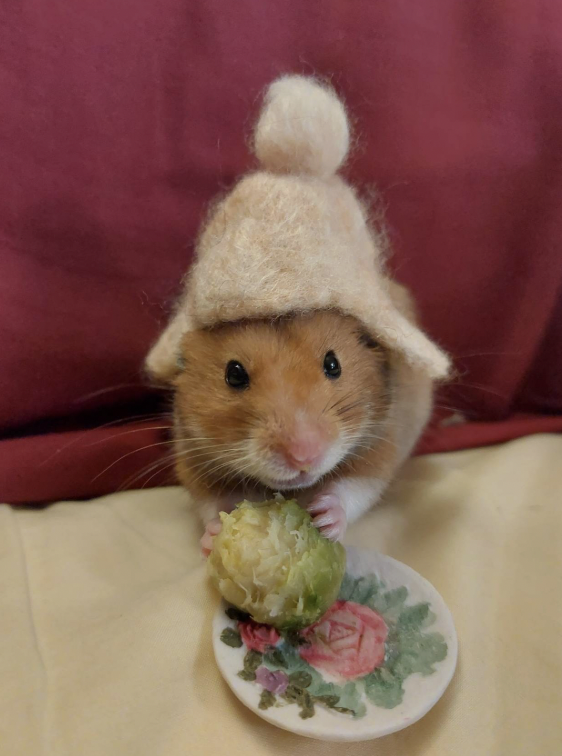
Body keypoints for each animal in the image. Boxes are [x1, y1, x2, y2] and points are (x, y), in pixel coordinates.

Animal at [170, 290, 433, 552]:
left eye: (333, 364)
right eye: (233, 374)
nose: (303, 456)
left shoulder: (378, 447)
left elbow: (353, 488)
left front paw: (325, 518)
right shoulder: (195, 461)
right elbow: (214, 503)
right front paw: (213, 537)